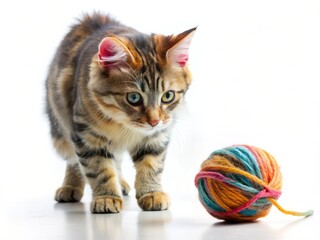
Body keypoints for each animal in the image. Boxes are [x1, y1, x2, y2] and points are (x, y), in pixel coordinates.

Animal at [45, 12, 195, 213]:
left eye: (168, 96)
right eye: (134, 98)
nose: (154, 121)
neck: (122, 125)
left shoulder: (157, 136)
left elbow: (151, 165)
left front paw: (152, 193)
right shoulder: (87, 136)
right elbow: (99, 170)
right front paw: (106, 198)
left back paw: (121, 183)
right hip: (61, 130)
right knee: (73, 161)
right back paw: (70, 187)